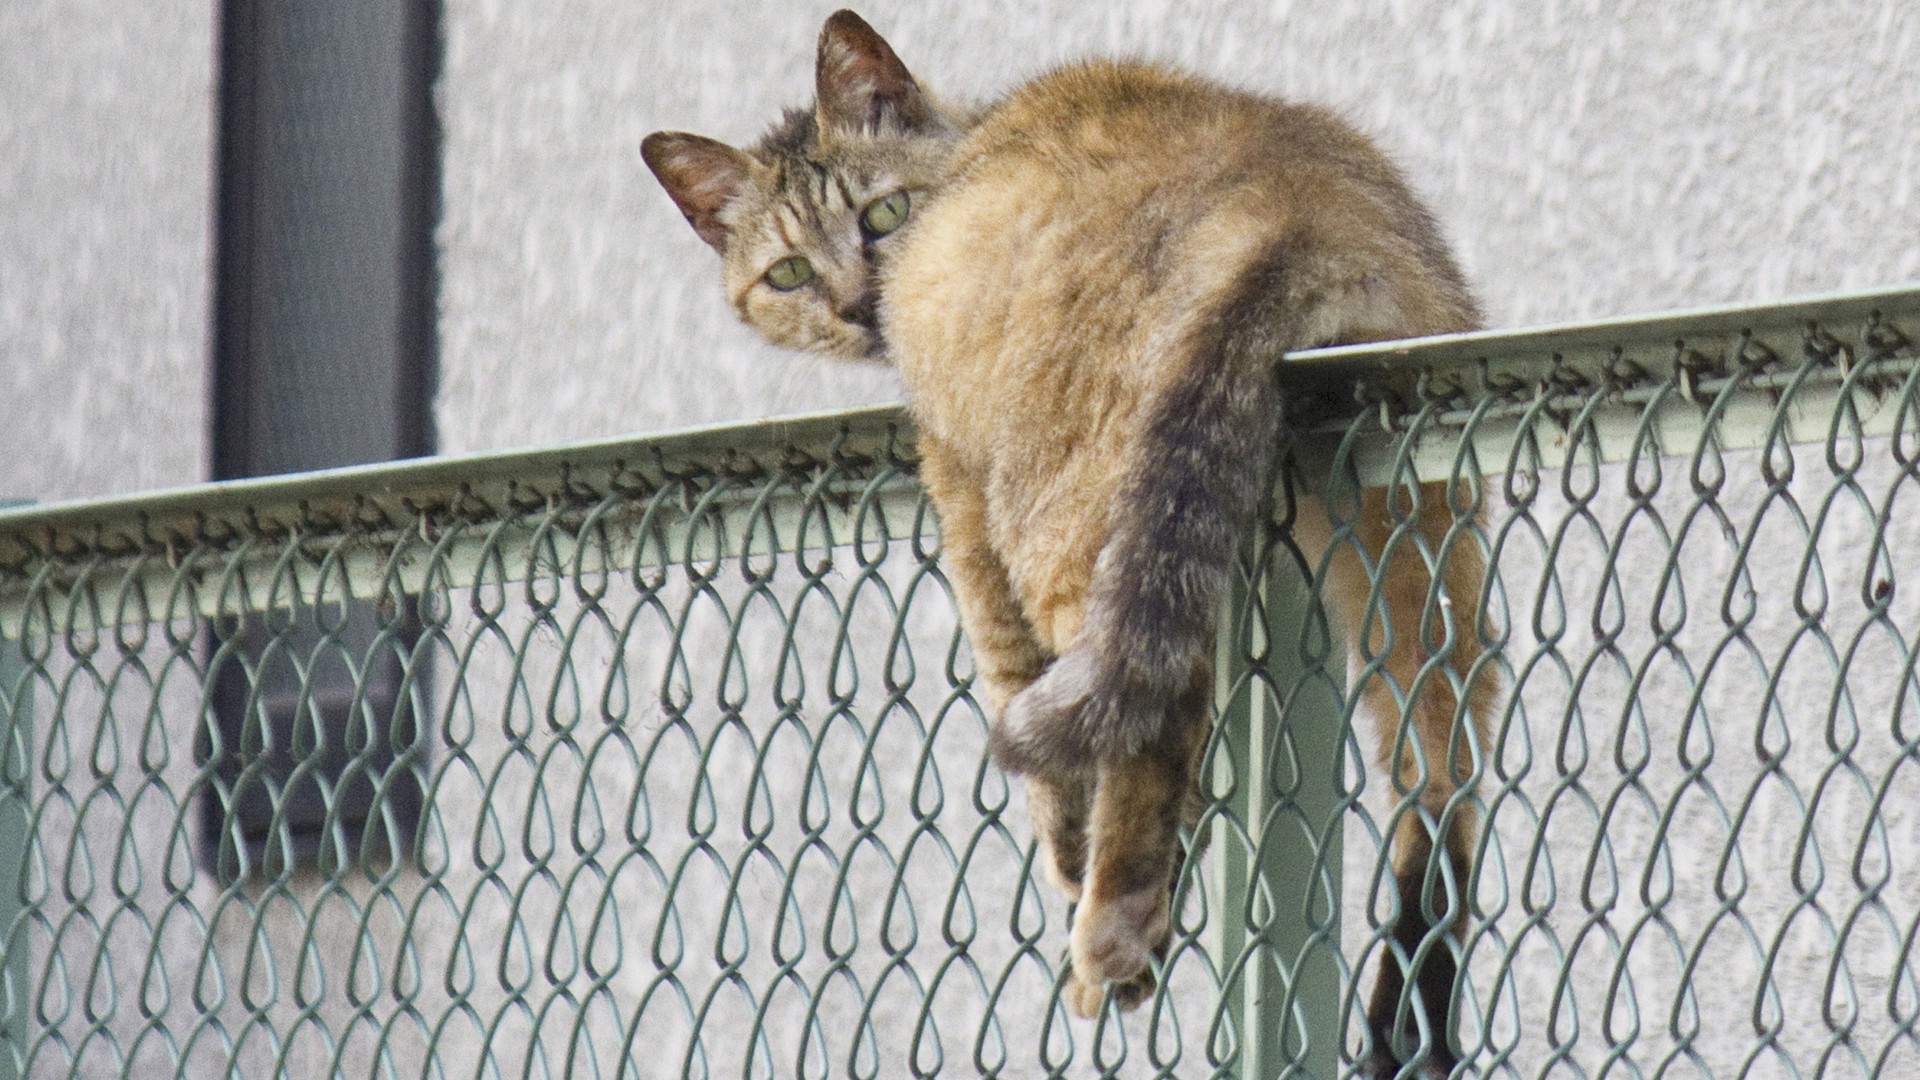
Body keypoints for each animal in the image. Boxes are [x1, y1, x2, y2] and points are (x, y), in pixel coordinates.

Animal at [637, 12, 1489, 1068]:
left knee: (1153, 705)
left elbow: (1024, 721)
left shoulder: (963, 495)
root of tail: (1290, 202)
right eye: (787, 272)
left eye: (882, 216)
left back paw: (1112, 924)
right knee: (1446, 752)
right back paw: (1414, 993)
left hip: (1066, 515)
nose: (854, 303)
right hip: (1416, 515)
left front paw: (1076, 872)